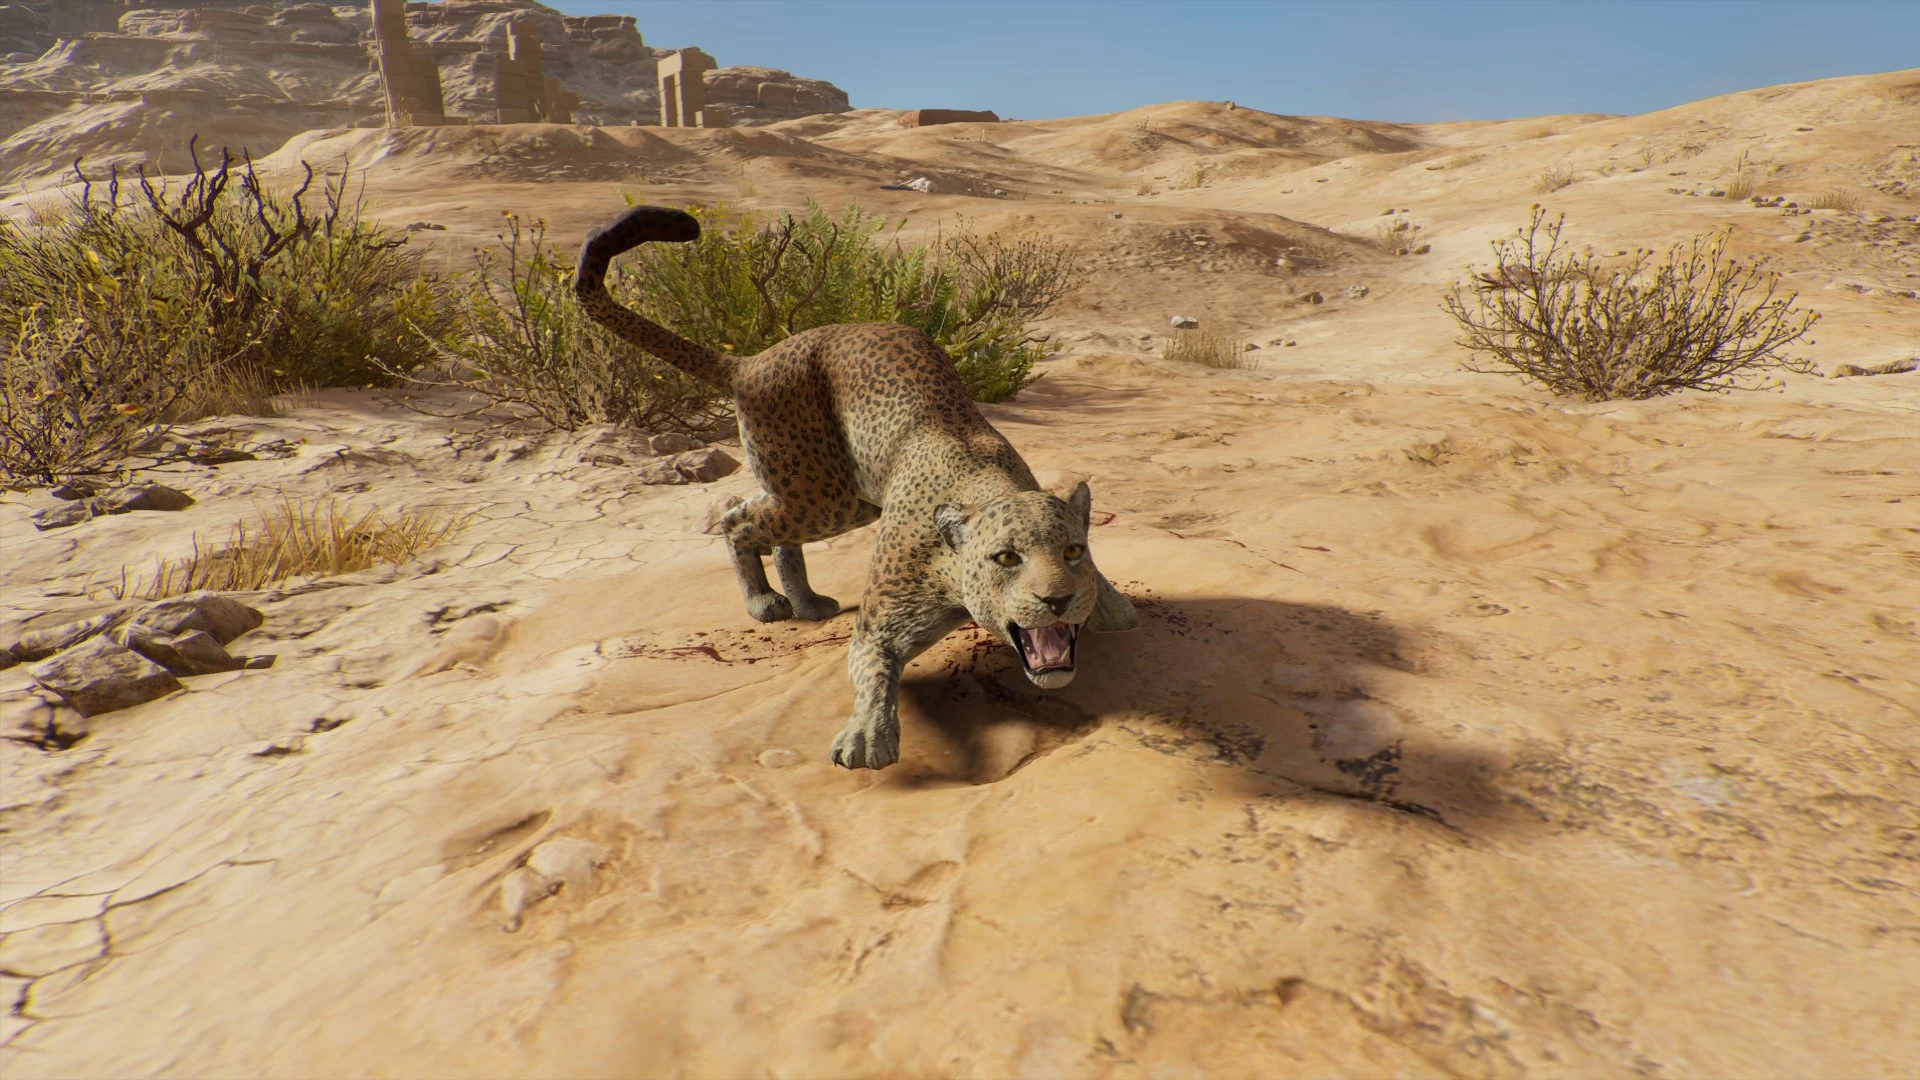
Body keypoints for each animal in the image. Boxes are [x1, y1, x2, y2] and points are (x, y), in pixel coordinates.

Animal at [573, 205, 1139, 770]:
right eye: (1006, 558)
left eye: (1072, 551)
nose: (1058, 600)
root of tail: (750, 361)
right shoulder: (881, 625)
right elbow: (874, 669)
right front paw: (867, 736)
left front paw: (1113, 607)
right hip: (821, 494)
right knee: (737, 517)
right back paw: (765, 603)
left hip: (836, 499)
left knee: (772, 530)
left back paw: (807, 603)